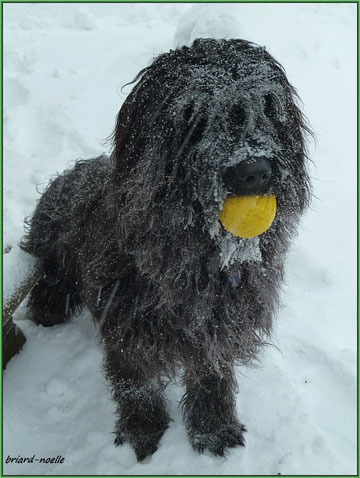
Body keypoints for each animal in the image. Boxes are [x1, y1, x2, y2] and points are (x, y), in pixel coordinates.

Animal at [21, 39, 310, 462]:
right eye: (196, 116)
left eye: (266, 106)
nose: (254, 172)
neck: (200, 256)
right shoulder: (127, 323)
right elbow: (136, 384)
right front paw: (142, 433)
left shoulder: (219, 327)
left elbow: (211, 375)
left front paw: (213, 429)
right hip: (54, 248)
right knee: (50, 282)